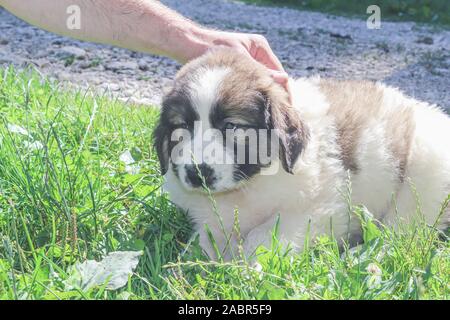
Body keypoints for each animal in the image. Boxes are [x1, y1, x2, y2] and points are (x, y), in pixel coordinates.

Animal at [153, 49, 448, 260]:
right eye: (181, 127)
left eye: (231, 126)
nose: (196, 173)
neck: (250, 185)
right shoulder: (213, 218)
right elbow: (206, 240)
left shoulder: (319, 209)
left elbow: (263, 235)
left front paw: (249, 267)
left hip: (422, 177)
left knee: (401, 233)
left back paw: (358, 256)